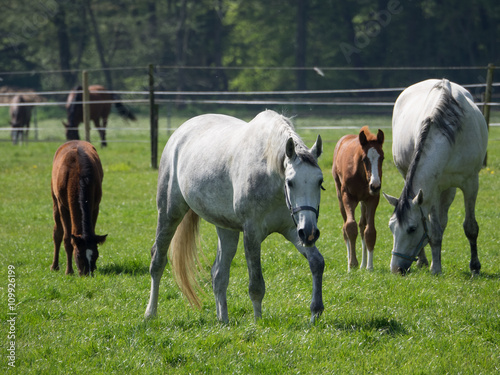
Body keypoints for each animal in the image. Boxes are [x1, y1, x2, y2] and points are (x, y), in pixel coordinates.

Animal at [51, 141, 107, 276]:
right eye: (79, 255)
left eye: (96, 255)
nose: (87, 274)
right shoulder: (63, 207)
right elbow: (67, 239)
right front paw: (69, 271)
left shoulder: (95, 206)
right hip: (55, 200)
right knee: (57, 232)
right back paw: (55, 266)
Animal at [145, 109, 324, 324]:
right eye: (290, 182)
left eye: (320, 181)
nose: (310, 232)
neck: (269, 172)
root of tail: (178, 134)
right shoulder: (252, 233)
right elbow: (256, 285)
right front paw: (258, 322)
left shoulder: (293, 229)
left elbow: (317, 263)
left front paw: (315, 312)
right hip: (169, 214)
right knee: (158, 261)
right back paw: (150, 313)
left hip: (226, 230)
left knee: (218, 274)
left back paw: (223, 320)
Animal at [334, 128, 384, 272]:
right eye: (365, 159)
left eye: (382, 158)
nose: (375, 185)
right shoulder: (348, 197)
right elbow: (350, 227)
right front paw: (352, 264)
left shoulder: (372, 198)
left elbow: (369, 231)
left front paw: (370, 267)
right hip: (340, 196)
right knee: (345, 228)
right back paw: (351, 260)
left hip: (363, 202)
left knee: (362, 225)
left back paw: (364, 264)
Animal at [382, 78, 488, 274]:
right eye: (391, 227)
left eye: (412, 229)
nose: (396, 269)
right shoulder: (432, 189)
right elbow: (434, 230)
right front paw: (435, 267)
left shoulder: (471, 183)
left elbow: (470, 227)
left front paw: (475, 267)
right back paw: (423, 260)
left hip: (450, 189)